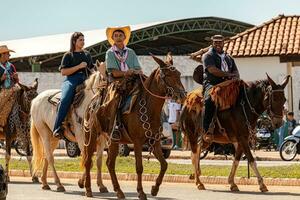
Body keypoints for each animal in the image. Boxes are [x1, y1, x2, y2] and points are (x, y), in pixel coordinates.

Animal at [81, 53, 186, 198]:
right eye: (168, 75)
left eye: (179, 74)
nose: (183, 95)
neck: (149, 107)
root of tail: (91, 104)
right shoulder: (137, 142)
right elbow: (139, 167)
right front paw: (141, 192)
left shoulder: (155, 142)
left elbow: (164, 164)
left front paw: (154, 188)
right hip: (91, 136)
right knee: (88, 161)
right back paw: (88, 189)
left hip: (113, 140)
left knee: (110, 163)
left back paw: (118, 191)